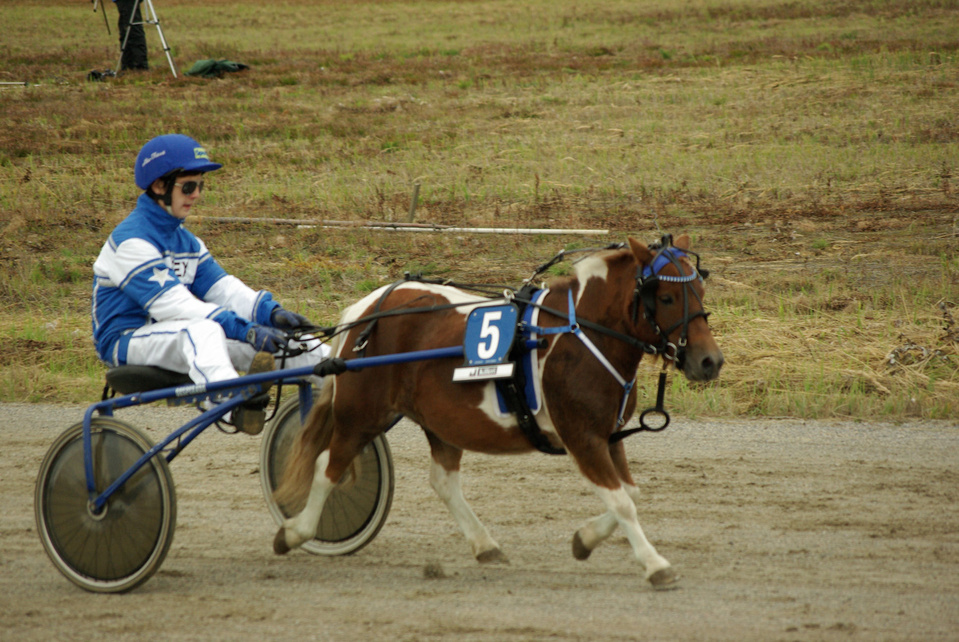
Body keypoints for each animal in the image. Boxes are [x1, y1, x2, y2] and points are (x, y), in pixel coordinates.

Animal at [272, 234, 723, 587]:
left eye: (700, 292)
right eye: (666, 297)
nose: (710, 361)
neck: (580, 334)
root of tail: (363, 312)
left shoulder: (609, 436)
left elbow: (631, 494)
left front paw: (585, 539)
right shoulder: (583, 437)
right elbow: (623, 502)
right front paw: (656, 565)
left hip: (440, 420)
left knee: (443, 481)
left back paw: (485, 544)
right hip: (360, 416)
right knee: (327, 468)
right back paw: (294, 532)